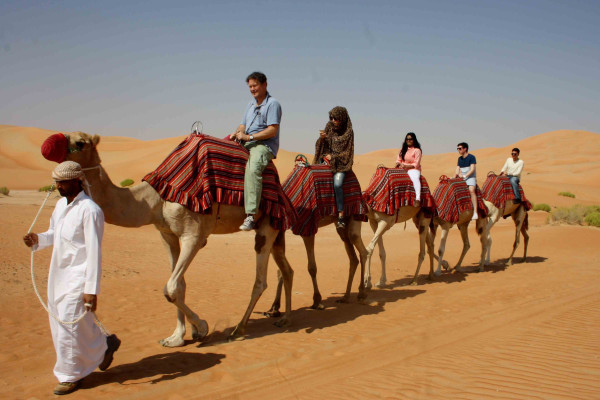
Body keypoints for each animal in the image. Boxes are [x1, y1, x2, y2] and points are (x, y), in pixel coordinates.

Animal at [64, 133, 294, 346]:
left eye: (80, 143)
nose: (53, 144)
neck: (155, 198)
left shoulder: (194, 235)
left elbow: (171, 288)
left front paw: (201, 328)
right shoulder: (167, 235)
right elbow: (180, 285)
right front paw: (176, 337)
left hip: (267, 225)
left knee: (260, 280)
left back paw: (239, 329)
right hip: (274, 228)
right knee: (286, 270)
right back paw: (284, 319)